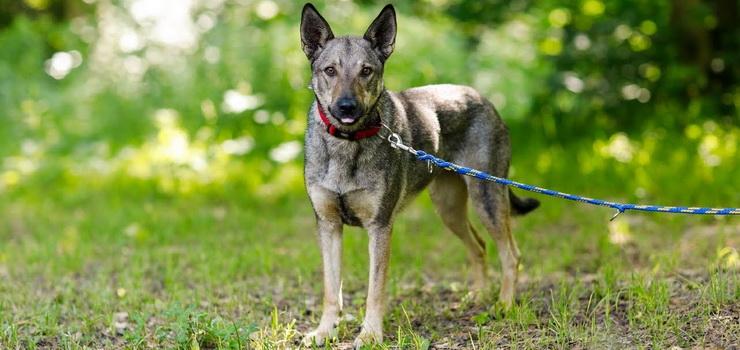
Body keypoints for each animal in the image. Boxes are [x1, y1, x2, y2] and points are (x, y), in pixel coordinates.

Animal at [300, 3, 536, 348]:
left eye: (366, 71)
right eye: (330, 70)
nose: (347, 107)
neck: (347, 142)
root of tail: (482, 98)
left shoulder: (380, 227)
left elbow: (375, 291)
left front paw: (370, 335)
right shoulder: (327, 225)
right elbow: (332, 291)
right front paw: (323, 332)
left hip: (487, 200)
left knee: (512, 254)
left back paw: (504, 305)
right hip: (448, 209)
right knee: (479, 246)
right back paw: (479, 296)